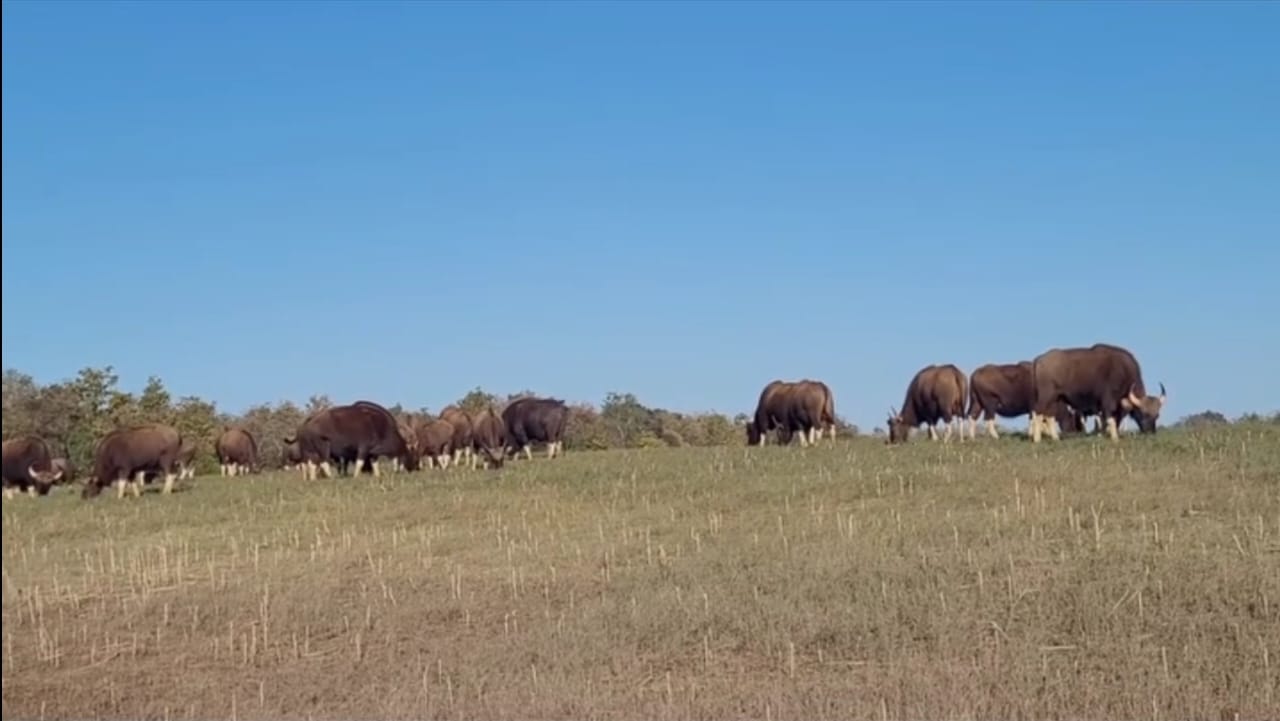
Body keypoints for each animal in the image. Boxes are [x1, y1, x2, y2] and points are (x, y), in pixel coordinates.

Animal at [1029, 343, 1166, 442]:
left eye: (1157, 415)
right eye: (1144, 414)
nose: (1151, 432)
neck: (1124, 372)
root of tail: (1039, 359)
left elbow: (1110, 420)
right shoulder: (1108, 401)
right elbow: (1110, 419)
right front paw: (1115, 438)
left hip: (1056, 399)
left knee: (1049, 415)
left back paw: (1056, 438)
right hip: (1046, 396)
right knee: (1038, 412)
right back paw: (1037, 439)